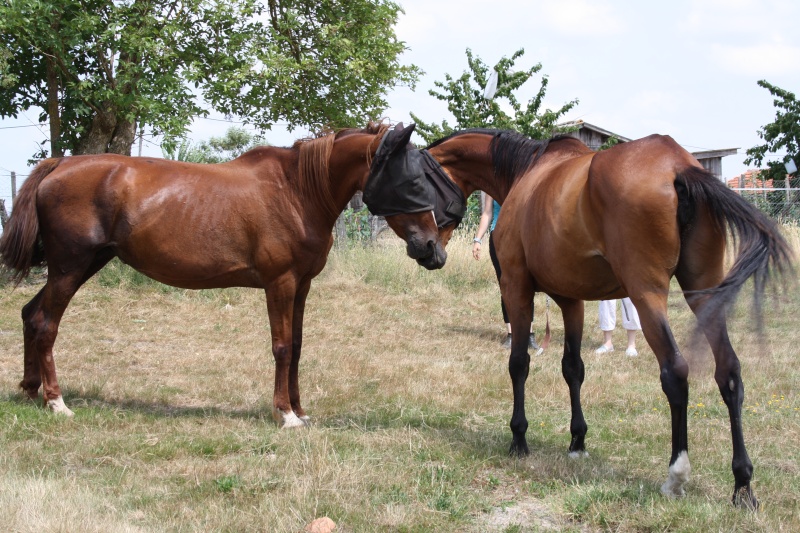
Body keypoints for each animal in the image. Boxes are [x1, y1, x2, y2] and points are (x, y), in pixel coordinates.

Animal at [0, 121, 446, 428]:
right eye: (409, 181)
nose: (432, 248)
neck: (297, 191)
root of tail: (60, 164)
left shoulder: (301, 286)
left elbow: (298, 346)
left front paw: (300, 409)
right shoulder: (280, 284)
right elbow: (282, 347)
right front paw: (284, 414)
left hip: (81, 266)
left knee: (30, 315)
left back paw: (30, 390)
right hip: (69, 267)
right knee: (46, 324)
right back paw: (56, 401)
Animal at [368, 128, 792, 508]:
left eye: (410, 185)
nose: (424, 250)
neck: (527, 172)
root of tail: (678, 166)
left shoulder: (517, 289)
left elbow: (518, 363)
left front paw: (519, 438)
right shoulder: (572, 301)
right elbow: (573, 368)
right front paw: (577, 441)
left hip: (647, 295)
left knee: (676, 372)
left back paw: (677, 474)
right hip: (703, 292)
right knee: (729, 373)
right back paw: (742, 485)